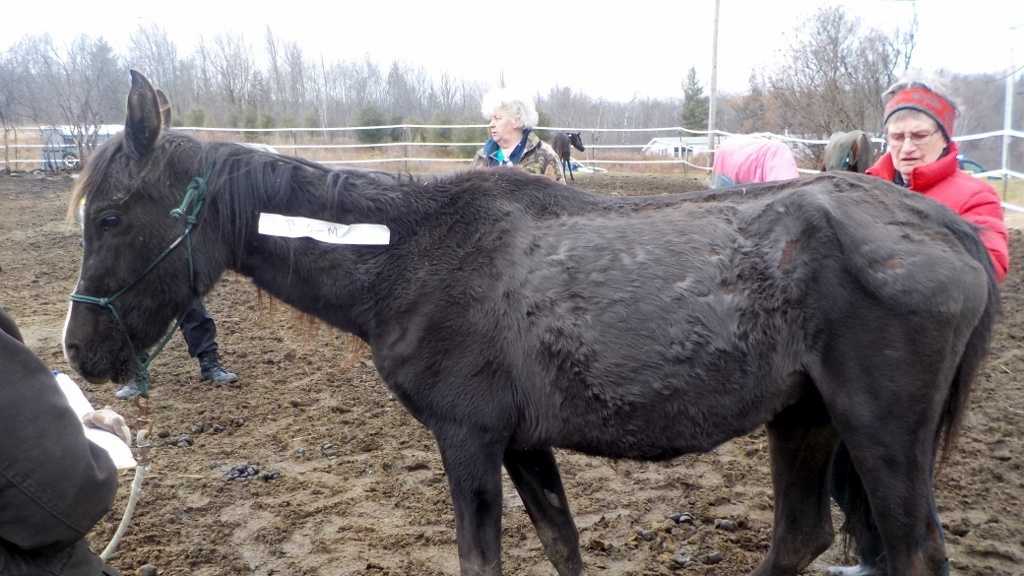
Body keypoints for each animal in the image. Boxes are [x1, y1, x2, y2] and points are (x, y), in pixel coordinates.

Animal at [63, 71, 998, 576]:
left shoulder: (469, 440)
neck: (410, 258)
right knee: (801, 536)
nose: (81, 349)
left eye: (108, 216)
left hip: (880, 434)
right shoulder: (523, 443)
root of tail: (942, 230)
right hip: (803, 419)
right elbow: (561, 545)